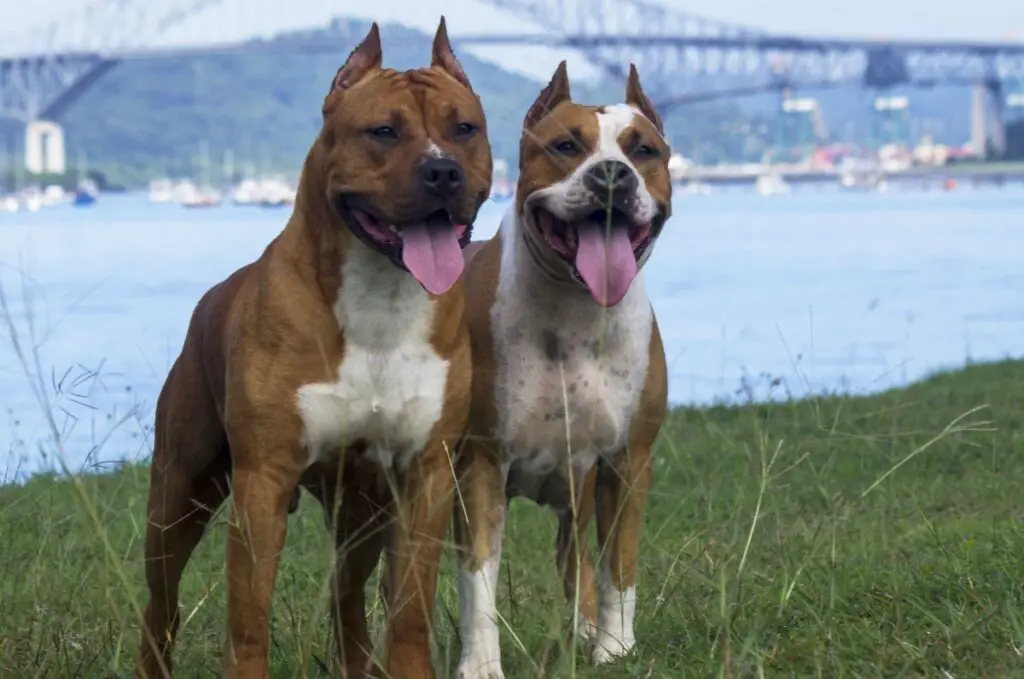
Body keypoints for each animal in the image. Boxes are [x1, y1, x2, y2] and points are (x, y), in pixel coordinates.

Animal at [134, 18, 493, 675]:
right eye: (383, 131)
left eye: (464, 129)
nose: (443, 172)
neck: (381, 296)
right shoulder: (263, 482)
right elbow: (248, 617)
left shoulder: (423, 476)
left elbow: (410, 607)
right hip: (179, 494)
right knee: (161, 600)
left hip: (362, 510)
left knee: (346, 594)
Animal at [456, 61, 671, 675]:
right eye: (565, 146)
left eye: (643, 150)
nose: (612, 174)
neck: (573, 310)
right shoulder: (481, 465)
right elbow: (478, 578)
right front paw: (480, 662)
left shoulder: (626, 463)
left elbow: (618, 565)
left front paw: (614, 647)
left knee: (578, 560)